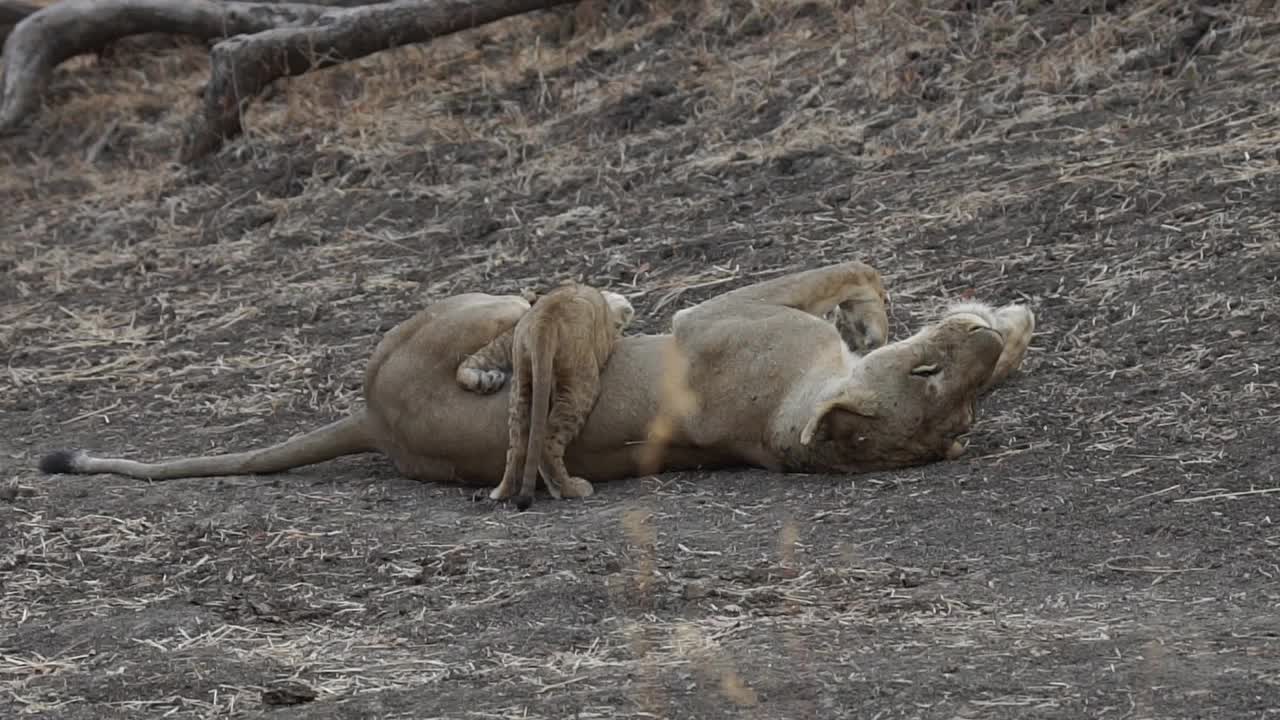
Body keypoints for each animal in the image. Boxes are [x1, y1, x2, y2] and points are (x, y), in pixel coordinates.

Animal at [455, 281, 634, 509]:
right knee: (548, 444)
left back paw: (502, 492)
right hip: (581, 383)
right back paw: (572, 489)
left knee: (517, 444)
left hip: (521, 380)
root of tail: (545, 320)